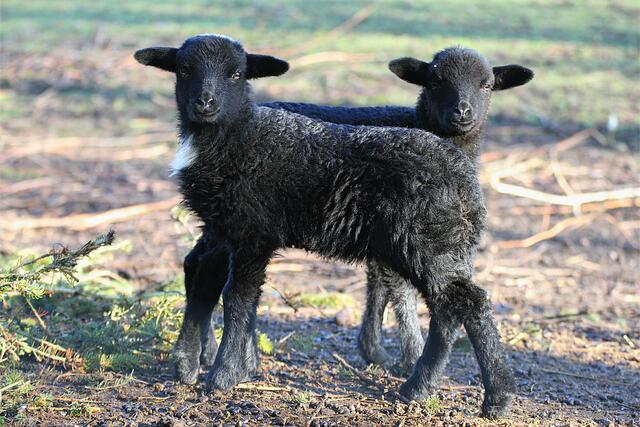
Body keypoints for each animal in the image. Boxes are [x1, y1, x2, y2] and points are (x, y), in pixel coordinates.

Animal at [134, 34, 525, 418]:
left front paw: (224, 375)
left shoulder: (252, 232)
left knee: (464, 302)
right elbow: (220, 289)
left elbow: (239, 298)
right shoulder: (230, 229)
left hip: (426, 240)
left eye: (236, 74)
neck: (238, 138)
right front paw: (208, 367)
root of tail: (463, 176)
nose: (205, 102)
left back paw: (481, 395)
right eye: (183, 70)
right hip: (432, 242)